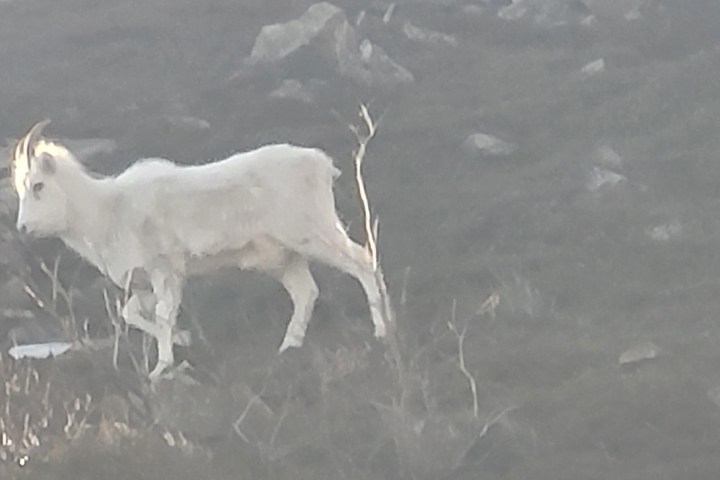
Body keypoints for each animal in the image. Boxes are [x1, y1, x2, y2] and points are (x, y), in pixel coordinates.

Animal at [10, 120, 391, 379]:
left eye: (38, 186)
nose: (23, 229)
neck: (107, 211)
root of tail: (321, 165)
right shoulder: (145, 283)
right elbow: (134, 315)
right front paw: (184, 340)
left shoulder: (165, 272)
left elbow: (162, 315)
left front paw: (161, 369)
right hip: (285, 259)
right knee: (306, 293)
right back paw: (288, 348)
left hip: (312, 235)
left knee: (362, 263)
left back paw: (383, 331)